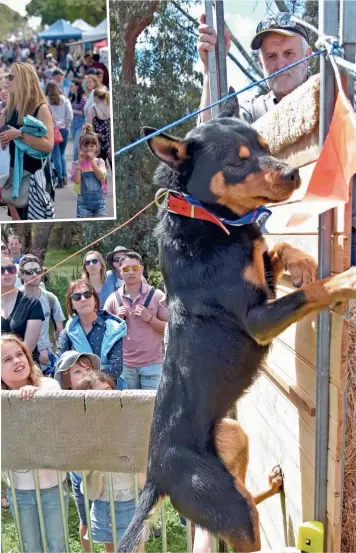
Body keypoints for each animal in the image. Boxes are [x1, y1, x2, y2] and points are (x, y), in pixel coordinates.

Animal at [117, 97, 356, 548]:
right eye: (238, 161)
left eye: (266, 147)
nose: (294, 173)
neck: (209, 220)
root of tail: (155, 477)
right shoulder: (258, 318)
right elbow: (312, 292)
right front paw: (345, 279)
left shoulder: (261, 278)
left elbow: (274, 249)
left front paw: (301, 261)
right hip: (228, 506)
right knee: (243, 529)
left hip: (234, 438)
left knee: (246, 500)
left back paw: (273, 482)